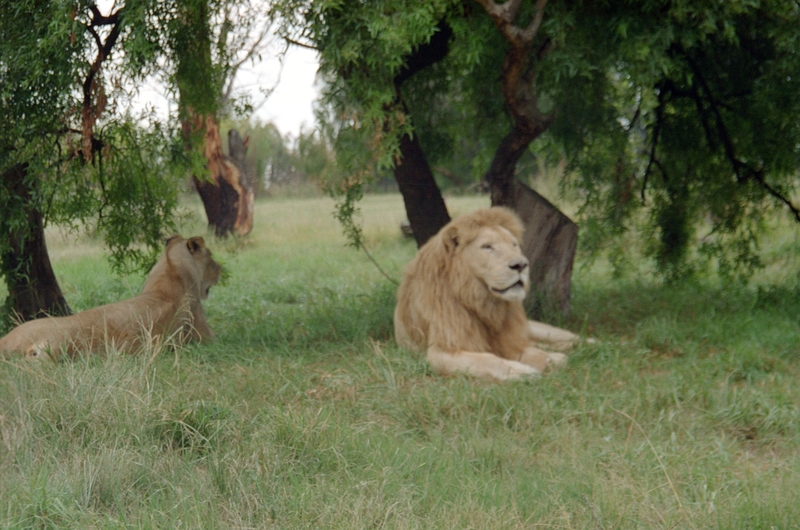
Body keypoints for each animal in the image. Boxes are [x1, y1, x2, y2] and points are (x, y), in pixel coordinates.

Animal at [0, 235, 222, 358]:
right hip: (59, 347)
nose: (221, 269)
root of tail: (6, 342)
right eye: (211, 256)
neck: (171, 267)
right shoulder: (203, 333)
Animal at [396, 206, 584, 380]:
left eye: (514, 245)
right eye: (487, 247)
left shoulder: (511, 340)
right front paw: (521, 371)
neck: (483, 301)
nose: (521, 265)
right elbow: (486, 360)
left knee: (571, 339)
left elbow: (532, 353)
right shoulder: (441, 350)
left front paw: (549, 361)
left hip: (539, 330)